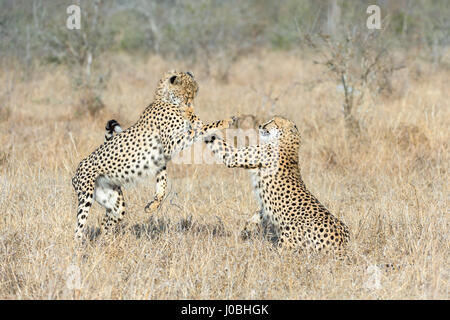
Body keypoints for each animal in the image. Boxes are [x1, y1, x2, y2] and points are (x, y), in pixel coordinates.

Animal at [71, 70, 234, 240]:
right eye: (187, 94)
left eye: (195, 93)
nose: (191, 106)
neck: (167, 100)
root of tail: (76, 172)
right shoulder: (170, 145)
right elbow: (199, 130)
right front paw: (224, 122)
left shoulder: (161, 158)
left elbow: (162, 185)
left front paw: (152, 205)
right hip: (86, 197)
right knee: (78, 229)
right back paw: (79, 245)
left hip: (115, 202)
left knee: (106, 223)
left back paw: (106, 242)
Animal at [205, 116, 352, 254]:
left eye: (272, 121)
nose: (260, 125)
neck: (288, 141)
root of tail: (343, 244)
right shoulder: (266, 208)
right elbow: (258, 215)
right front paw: (246, 229)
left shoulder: (233, 157)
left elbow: (217, 142)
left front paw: (203, 126)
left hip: (287, 238)